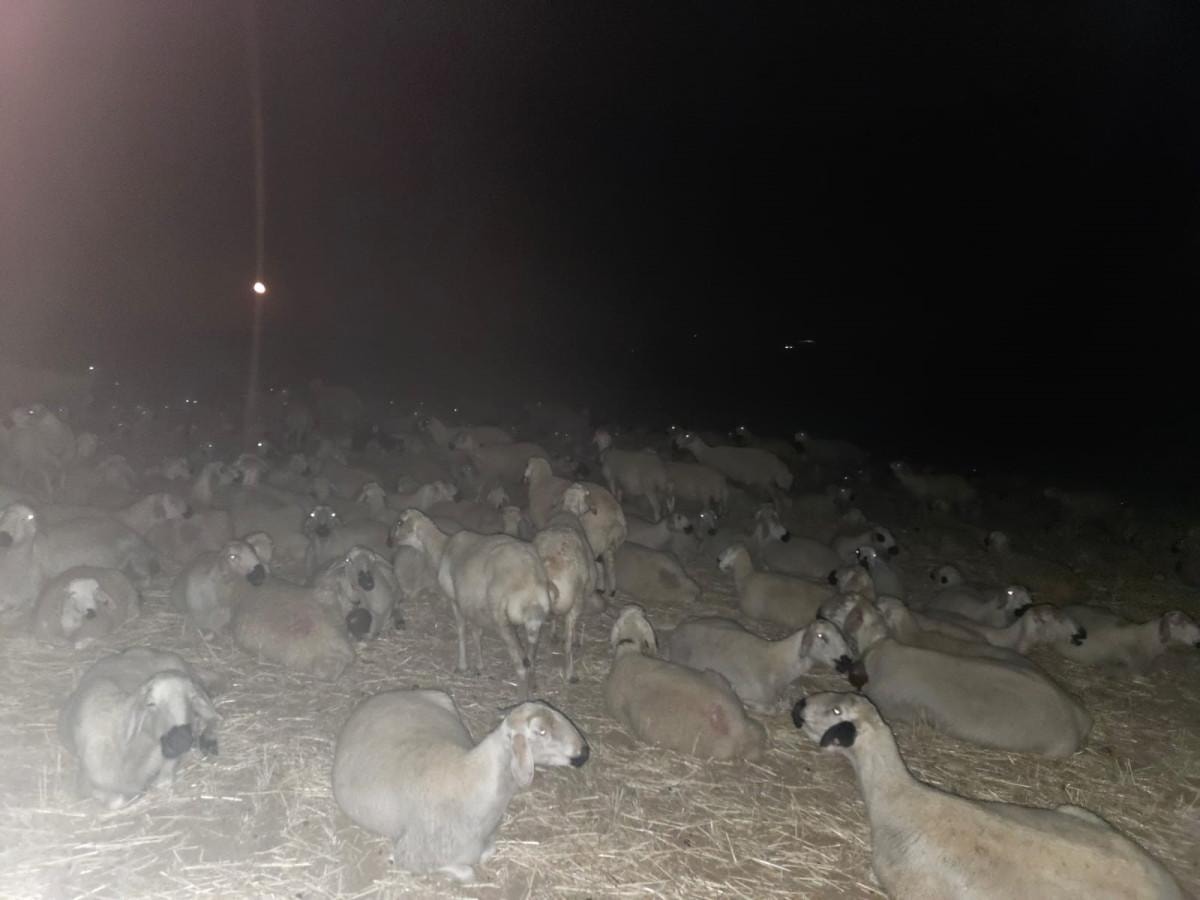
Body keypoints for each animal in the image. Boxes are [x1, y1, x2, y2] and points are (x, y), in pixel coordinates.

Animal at [58, 647, 219, 809]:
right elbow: (116, 801)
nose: (181, 739)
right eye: (150, 703)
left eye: (192, 698)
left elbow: (163, 782)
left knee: (214, 717)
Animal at [332, 689, 587, 883]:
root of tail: (381, 696)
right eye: (541, 731)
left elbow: (487, 853)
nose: (584, 752)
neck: (467, 779)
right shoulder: (411, 854)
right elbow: (467, 872)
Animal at [390, 509, 554, 693]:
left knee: (520, 665)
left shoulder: (456, 599)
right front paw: (479, 665)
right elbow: (476, 633)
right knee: (530, 659)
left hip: (501, 618)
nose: (389, 542)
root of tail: (530, 576)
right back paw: (532, 686)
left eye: (399, 523)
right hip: (534, 623)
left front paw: (462, 666)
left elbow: (461, 630)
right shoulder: (473, 604)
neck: (441, 548)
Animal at [524, 457, 626, 597]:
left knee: (597, 566)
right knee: (609, 568)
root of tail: (616, 516)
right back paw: (609, 591)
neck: (541, 482)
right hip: (609, 547)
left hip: (593, 541)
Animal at [666, 616, 854, 712]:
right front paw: (748, 705)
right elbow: (771, 708)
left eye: (841, 635)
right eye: (821, 636)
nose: (847, 662)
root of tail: (679, 628)